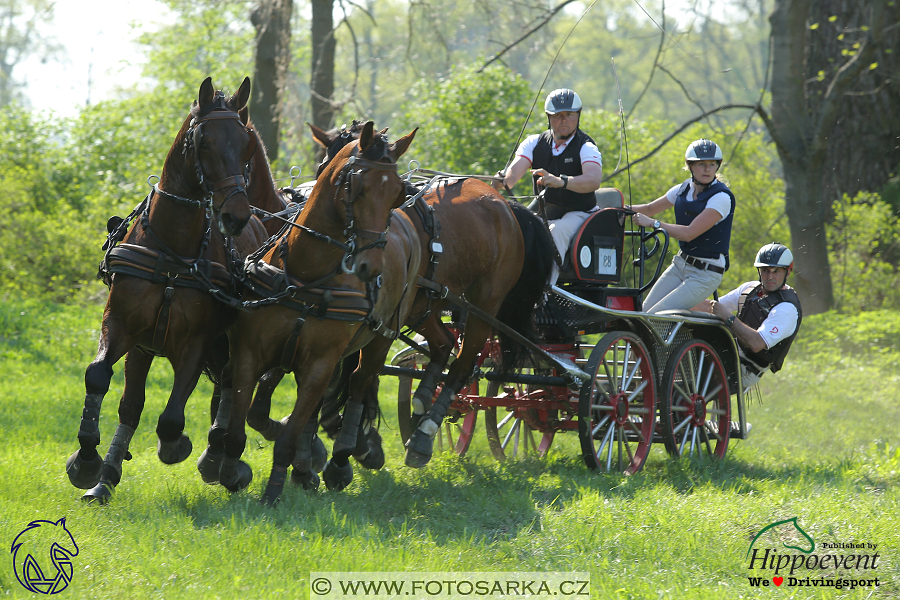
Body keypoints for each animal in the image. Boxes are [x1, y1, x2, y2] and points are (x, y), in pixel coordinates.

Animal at [65, 77, 268, 504]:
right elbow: (99, 377)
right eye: (205, 142)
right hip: (144, 349)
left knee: (230, 382)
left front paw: (178, 447)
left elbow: (172, 417)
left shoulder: (195, 343)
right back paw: (106, 477)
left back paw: (220, 459)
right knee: (132, 405)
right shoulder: (122, 327)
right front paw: (87, 462)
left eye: (246, 145)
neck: (172, 250)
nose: (235, 216)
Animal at [206, 119, 424, 504]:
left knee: (359, 382)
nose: (371, 265)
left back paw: (339, 461)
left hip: (382, 336)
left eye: (397, 191)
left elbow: (290, 434)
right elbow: (238, 425)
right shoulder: (250, 353)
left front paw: (273, 493)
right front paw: (232, 473)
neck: (305, 271)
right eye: (356, 185)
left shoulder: (319, 364)